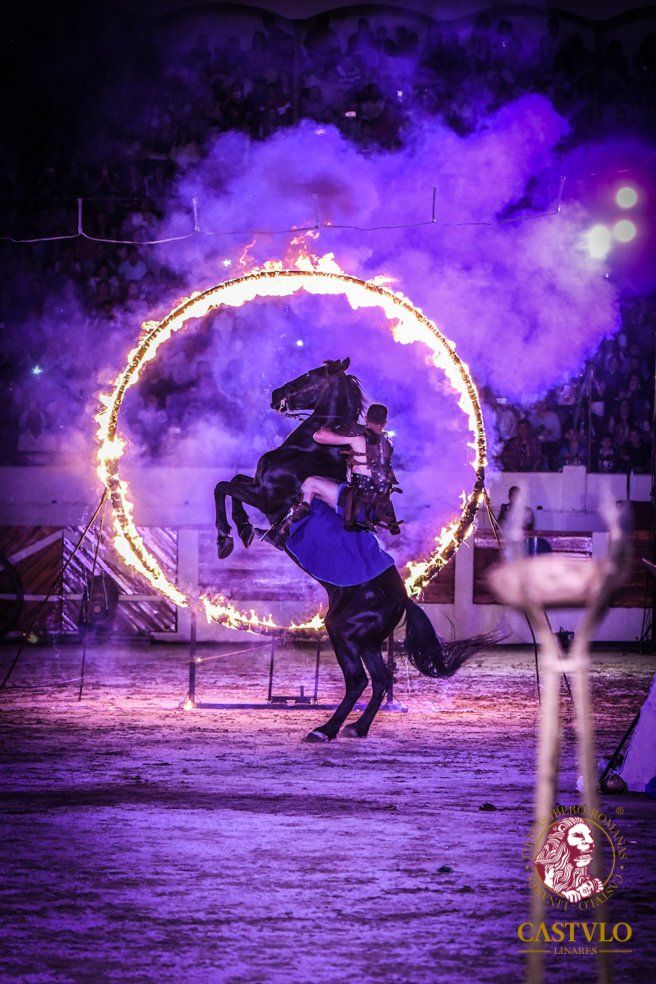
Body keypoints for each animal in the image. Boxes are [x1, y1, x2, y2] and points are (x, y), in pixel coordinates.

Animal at [214, 357, 490, 741]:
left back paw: (325, 729)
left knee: (358, 681)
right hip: (367, 642)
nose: (276, 394)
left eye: (312, 374)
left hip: (342, 633)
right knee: (380, 680)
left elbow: (223, 486)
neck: (312, 449)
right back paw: (356, 727)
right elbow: (233, 482)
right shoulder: (257, 487)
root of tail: (402, 600)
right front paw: (240, 529)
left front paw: (228, 535)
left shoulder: (266, 495)